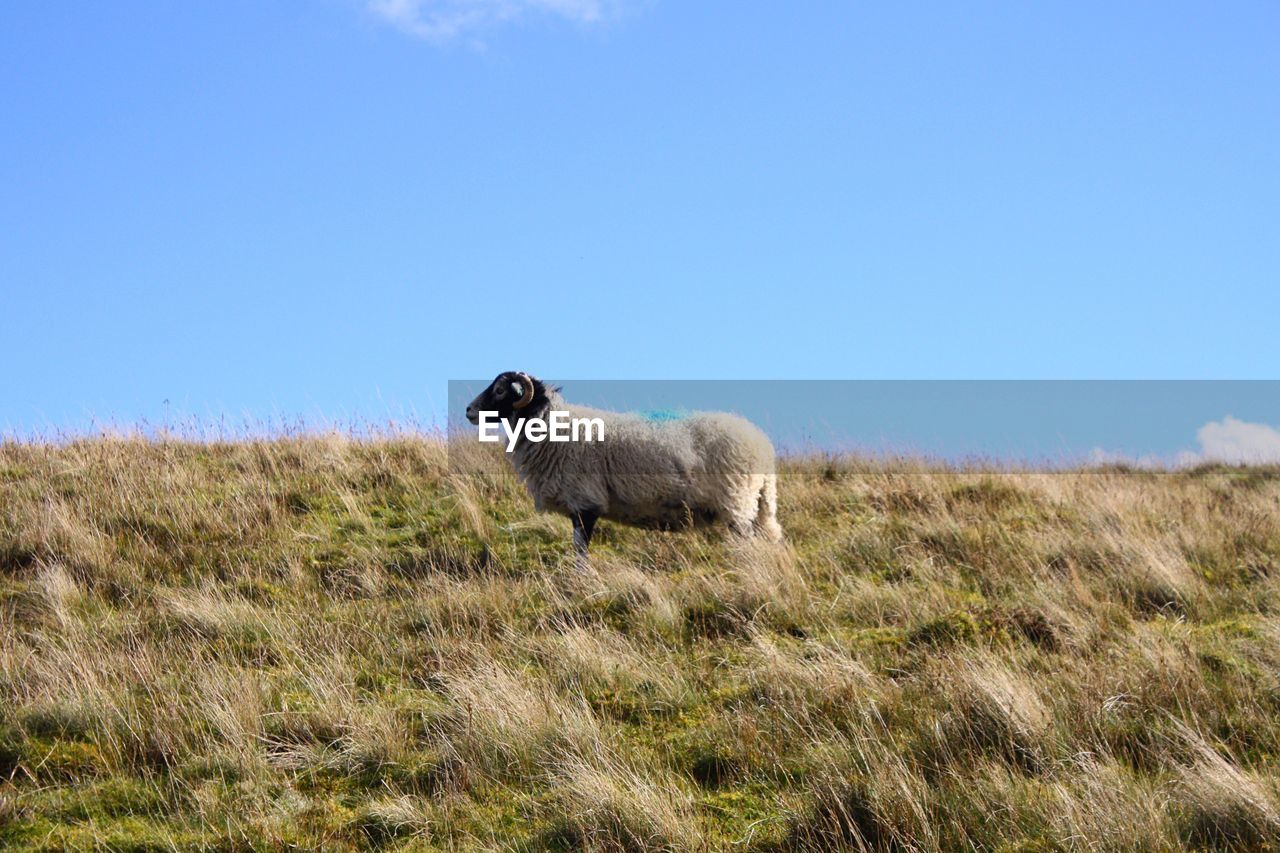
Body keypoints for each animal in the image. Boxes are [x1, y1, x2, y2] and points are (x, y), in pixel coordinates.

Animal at [463, 366, 778, 555]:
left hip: (737, 500)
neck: (552, 426)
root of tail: (763, 446)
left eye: (500, 390)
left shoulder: (585, 501)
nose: (469, 411)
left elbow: (581, 552)